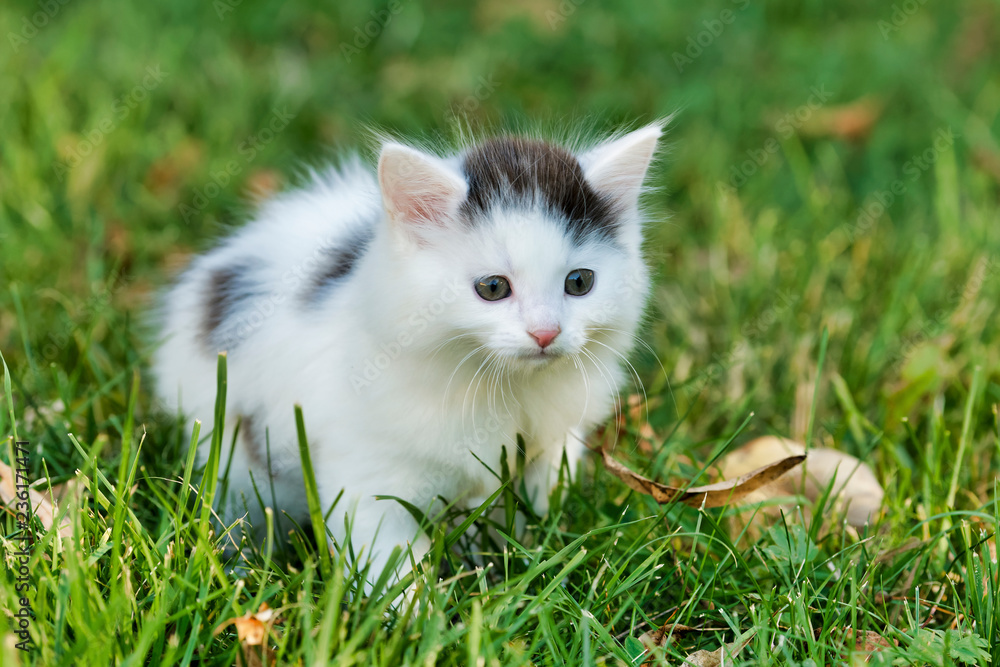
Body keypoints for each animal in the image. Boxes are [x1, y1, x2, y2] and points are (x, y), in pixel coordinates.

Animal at [150, 122, 664, 588]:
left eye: (579, 282)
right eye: (492, 288)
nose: (545, 332)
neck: (498, 386)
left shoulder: (546, 449)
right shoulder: (365, 474)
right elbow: (392, 563)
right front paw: (418, 614)